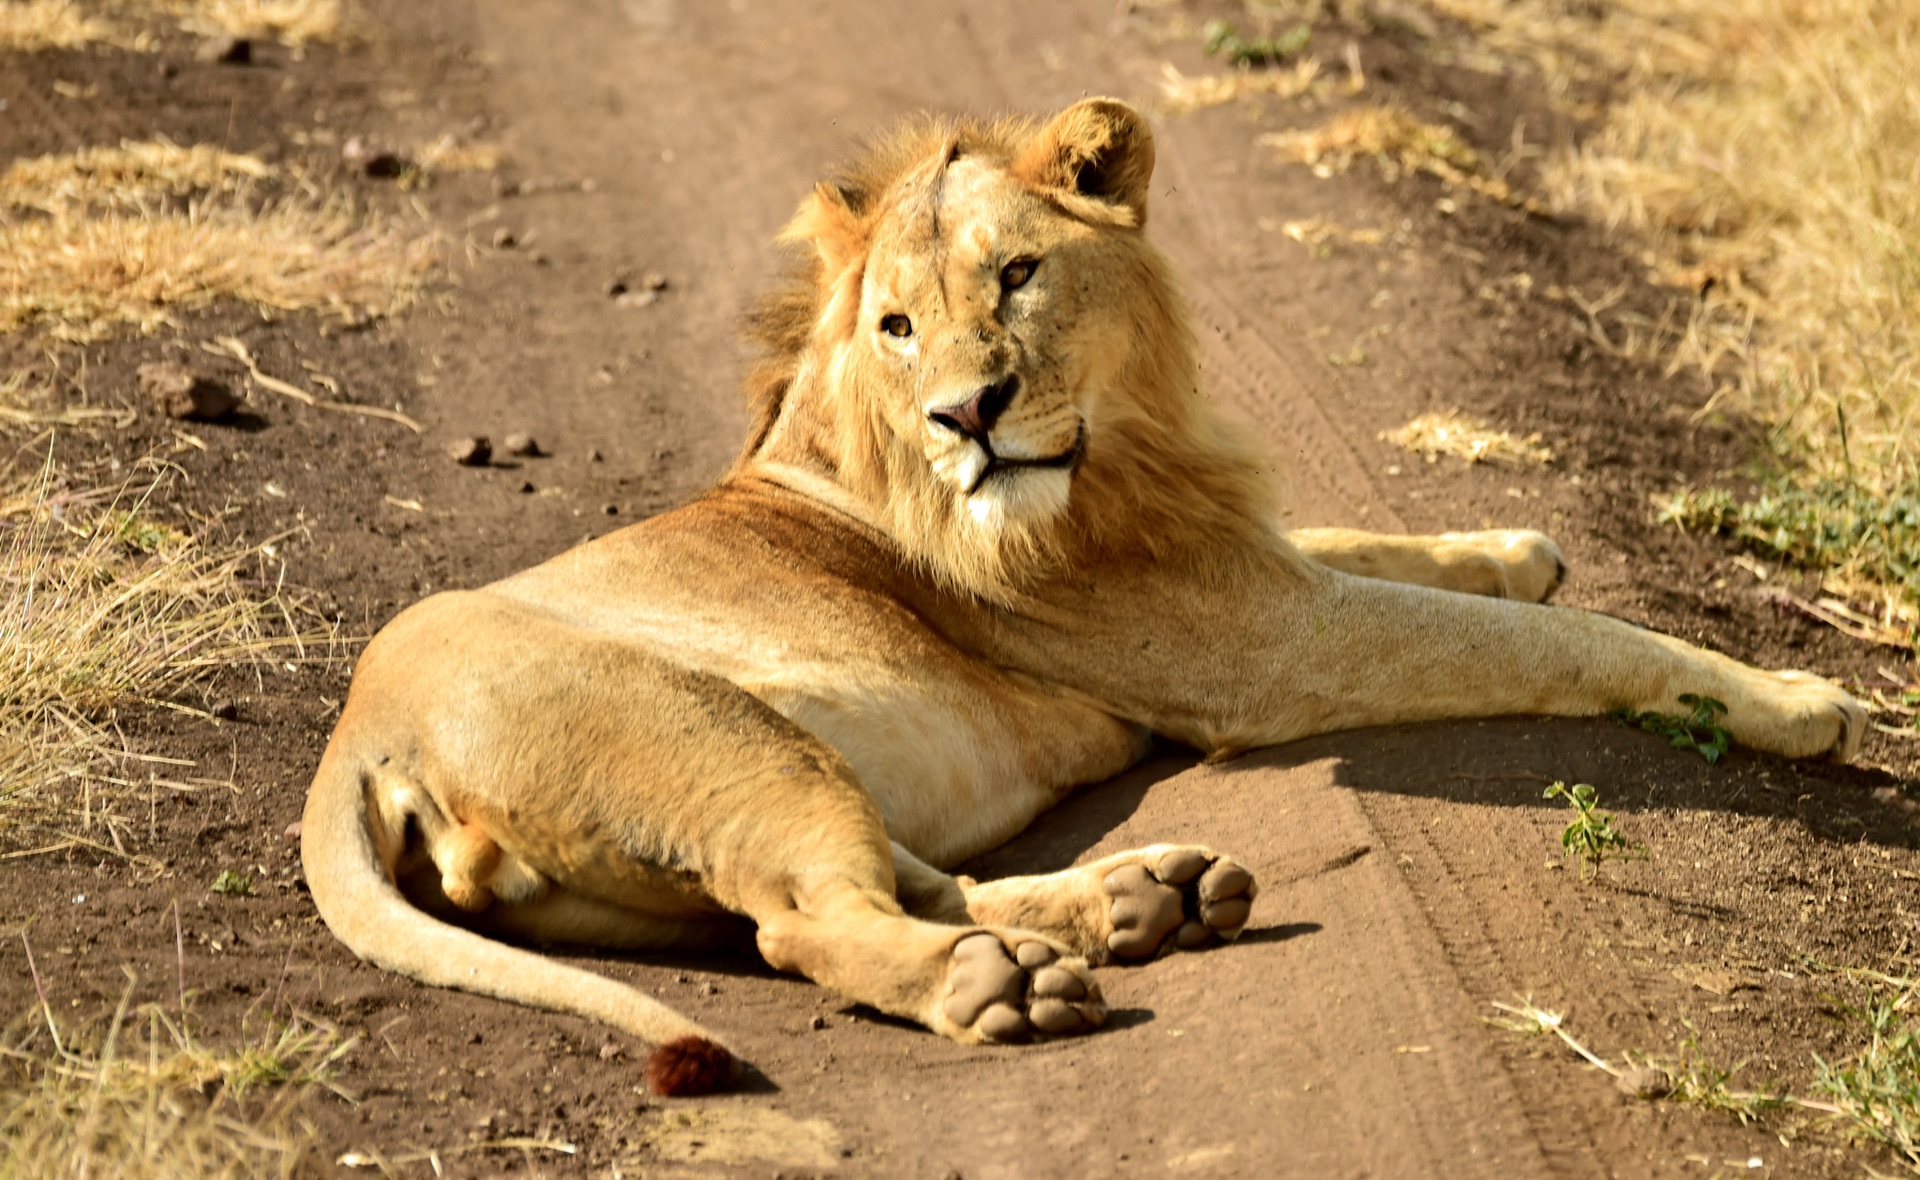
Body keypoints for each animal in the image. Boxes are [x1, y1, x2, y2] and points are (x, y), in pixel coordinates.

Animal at [299, 94, 1858, 1097]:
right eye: (898, 325)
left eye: (1019, 275)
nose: (967, 416)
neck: (1125, 452)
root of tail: (357, 740)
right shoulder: (1275, 649)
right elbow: (1554, 638)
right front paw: (1800, 697)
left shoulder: (1254, 564)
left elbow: (1396, 545)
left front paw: (1518, 538)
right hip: (722, 741)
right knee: (811, 921)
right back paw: (1004, 985)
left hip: (747, 802)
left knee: (888, 883)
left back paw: (1142, 902)